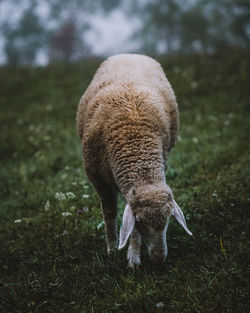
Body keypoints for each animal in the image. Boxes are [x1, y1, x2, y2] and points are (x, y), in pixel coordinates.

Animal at [77, 54, 192, 268]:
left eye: (168, 220)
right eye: (139, 220)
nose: (159, 259)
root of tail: (129, 54)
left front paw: (132, 253)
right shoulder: (97, 178)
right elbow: (110, 212)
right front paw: (113, 249)